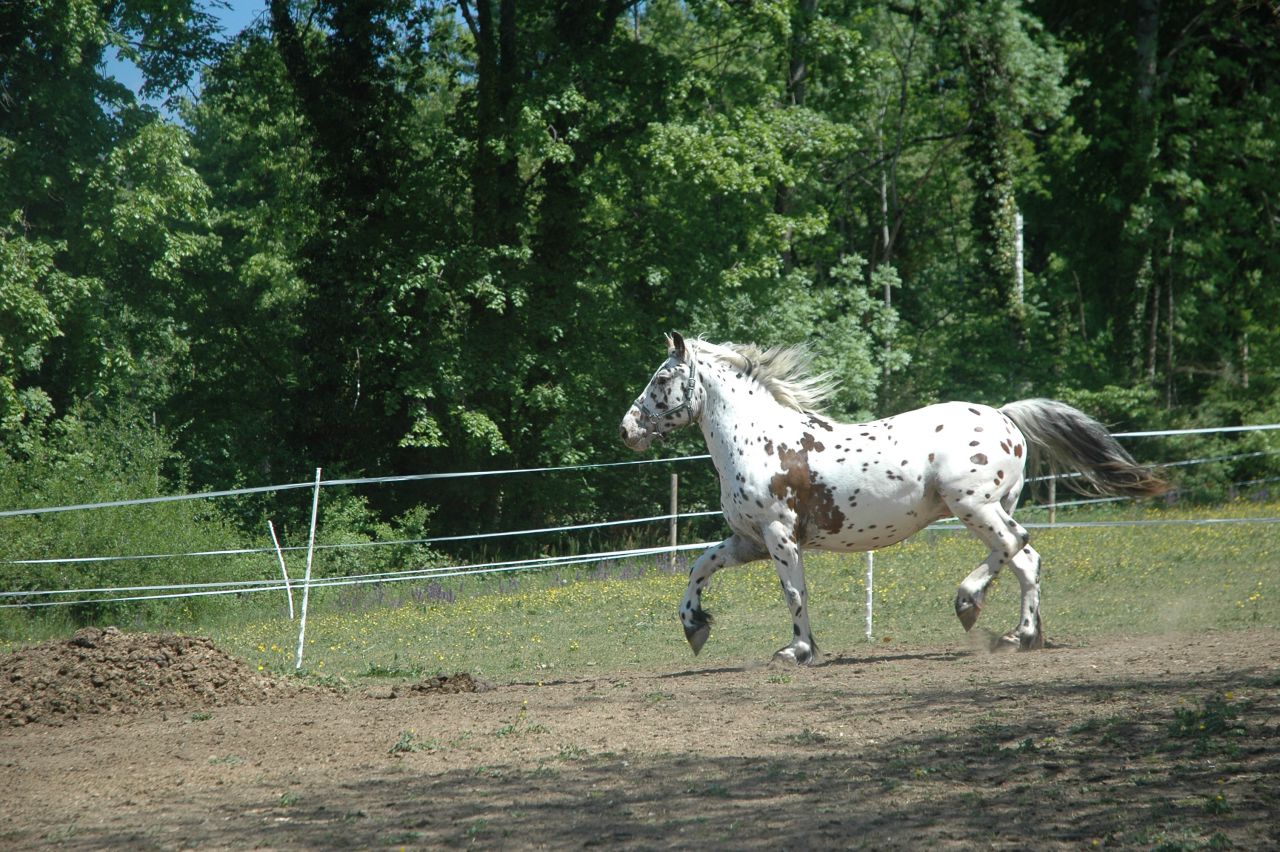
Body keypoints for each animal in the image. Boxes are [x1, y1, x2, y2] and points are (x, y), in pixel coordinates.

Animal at [619, 332, 1168, 664]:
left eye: (662, 378)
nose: (627, 429)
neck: (759, 442)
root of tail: (1005, 416)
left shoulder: (779, 535)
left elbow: (794, 592)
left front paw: (797, 650)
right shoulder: (748, 540)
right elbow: (700, 566)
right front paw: (695, 626)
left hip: (973, 505)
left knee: (1017, 546)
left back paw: (975, 606)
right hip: (990, 507)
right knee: (1023, 557)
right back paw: (1017, 633)